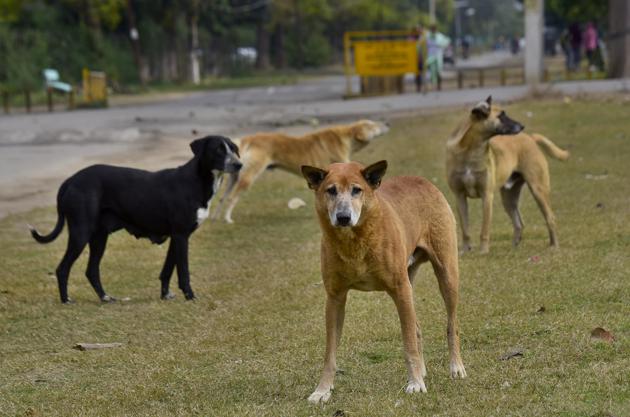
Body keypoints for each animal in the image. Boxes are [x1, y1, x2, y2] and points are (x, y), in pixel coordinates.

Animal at [29, 136, 243, 302]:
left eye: (234, 149)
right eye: (218, 150)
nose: (239, 164)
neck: (196, 180)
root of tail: (71, 179)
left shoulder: (177, 237)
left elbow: (167, 270)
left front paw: (165, 295)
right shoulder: (181, 236)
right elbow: (183, 272)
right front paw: (190, 296)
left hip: (99, 237)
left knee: (91, 270)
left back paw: (105, 297)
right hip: (81, 233)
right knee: (63, 268)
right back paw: (66, 300)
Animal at [214, 119, 390, 223]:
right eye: (375, 125)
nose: (387, 123)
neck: (346, 136)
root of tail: (249, 139)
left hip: (233, 178)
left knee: (222, 198)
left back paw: (215, 217)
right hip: (248, 177)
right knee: (232, 198)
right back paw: (227, 219)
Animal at [302, 160, 470, 404]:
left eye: (357, 190)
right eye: (330, 190)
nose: (343, 217)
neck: (355, 241)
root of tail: (422, 181)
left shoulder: (400, 290)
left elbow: (408, 343)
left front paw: (415, 383)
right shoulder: (334, 298)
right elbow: (329, 353)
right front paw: (323, 390)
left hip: (446, 275)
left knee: (451, 324)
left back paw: (455, 367)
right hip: (409, 282)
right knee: (417, 327)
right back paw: (423, 370)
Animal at [446, 96, 572, 254]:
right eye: (501, 116)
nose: (522, 126)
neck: (470, 151)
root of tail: (530, 138)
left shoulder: (487, 196)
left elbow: (484, 229)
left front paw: (483, 251)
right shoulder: (460, 197)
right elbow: (465, 229)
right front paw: (464, 250)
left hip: (538, 190)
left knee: (550, 218)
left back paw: (554, 246)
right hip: (508, 198)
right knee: (519, 223)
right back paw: (514, 246)